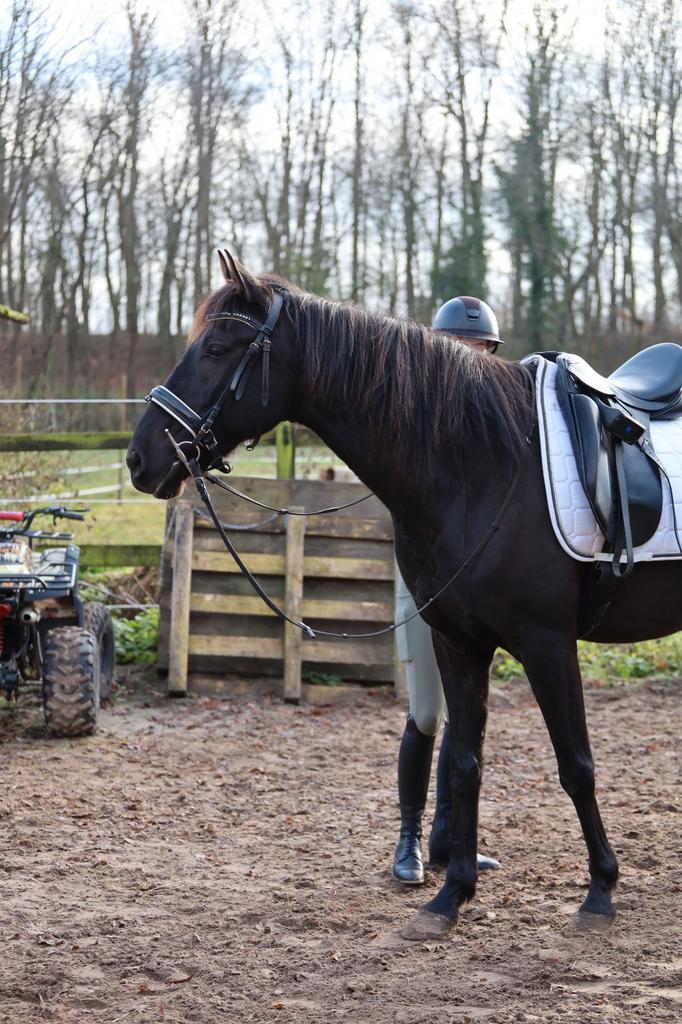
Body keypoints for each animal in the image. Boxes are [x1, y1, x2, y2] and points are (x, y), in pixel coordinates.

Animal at [127, 251, 681, 941]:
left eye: (218, 347)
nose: (140, 457)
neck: (489, 464)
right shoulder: (459, 642)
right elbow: (463, 763)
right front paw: (451, 895)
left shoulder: (547, 643)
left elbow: (576, 764)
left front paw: (601, 889)